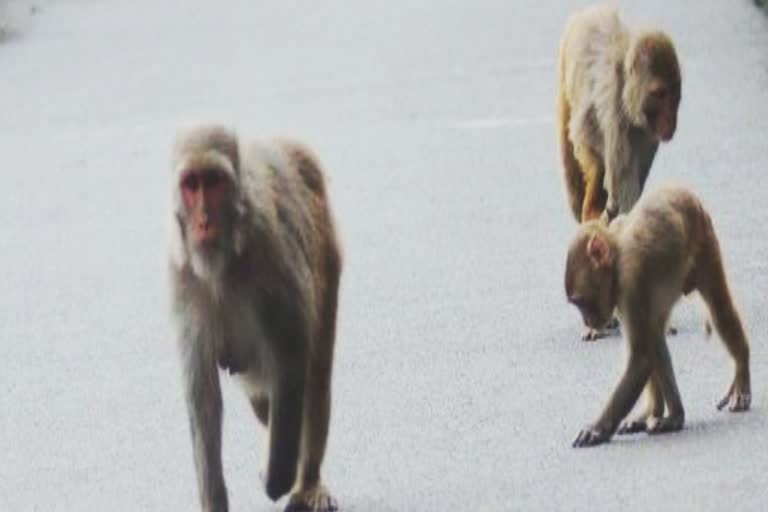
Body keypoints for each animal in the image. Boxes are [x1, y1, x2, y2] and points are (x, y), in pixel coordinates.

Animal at [556, 4, 680, 224]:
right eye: (659, 94)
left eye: (674, 94)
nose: (670, 120)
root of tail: (589, 10)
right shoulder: (614, 108)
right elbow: (588, 136)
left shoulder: (646, 129)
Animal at [564, 186, 752, 446]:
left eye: (580, 301)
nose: (587, 321)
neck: (618, 252)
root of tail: (683, 190)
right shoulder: (621, 293)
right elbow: (647, 347)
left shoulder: (630, 282)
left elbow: (641, 357)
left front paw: (597, 429)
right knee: (655, 333)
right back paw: (660, 414)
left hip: (705, 238)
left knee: (719, 309)